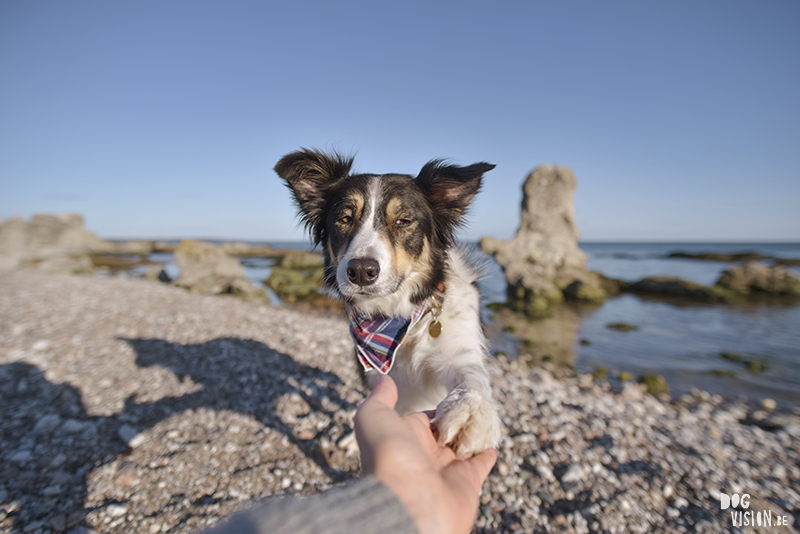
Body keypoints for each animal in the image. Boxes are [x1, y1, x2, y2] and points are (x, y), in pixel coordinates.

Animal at [276, 149, 500, 458]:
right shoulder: (373, 370)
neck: (400, 320)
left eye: (404, 221)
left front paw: (469, 412)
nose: (360, 271)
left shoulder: (458, 350)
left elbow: (472, 376)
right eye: (344, 219)